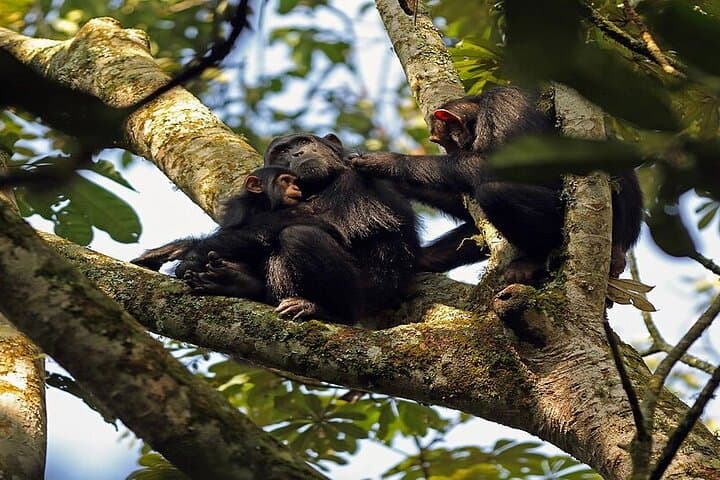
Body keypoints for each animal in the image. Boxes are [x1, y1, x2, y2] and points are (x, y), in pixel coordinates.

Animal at [351, 86, 643, 283]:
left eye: (440, 141)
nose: (448, 151)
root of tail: (624, 243)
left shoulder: (505, 107)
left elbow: (513, 165)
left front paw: (387, 161)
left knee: (495, 193)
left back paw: (533, 261)